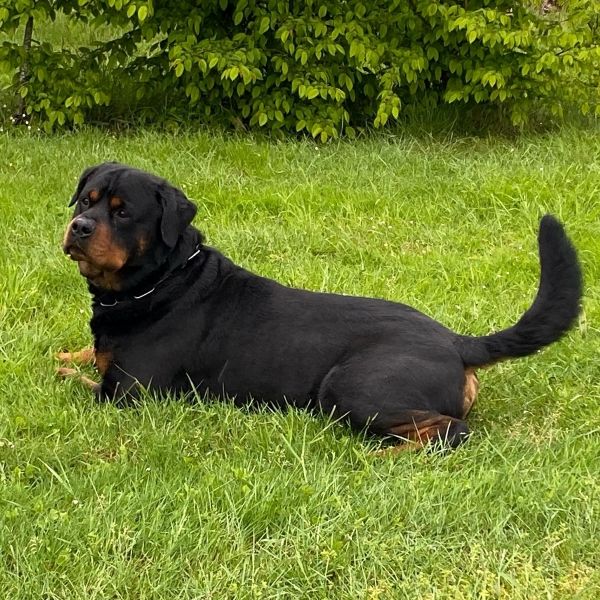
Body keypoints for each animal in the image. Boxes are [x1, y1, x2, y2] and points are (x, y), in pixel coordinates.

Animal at [59, 162, 582, 448]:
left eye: (123, 212)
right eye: (84, 201)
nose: (80, 227)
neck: (160, 282)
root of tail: (457, 342)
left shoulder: (130, 393)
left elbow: (80, 383)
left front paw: (67, 369)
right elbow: (87, 355)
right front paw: (71, 353)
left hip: (353, 388)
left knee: (451, 432)